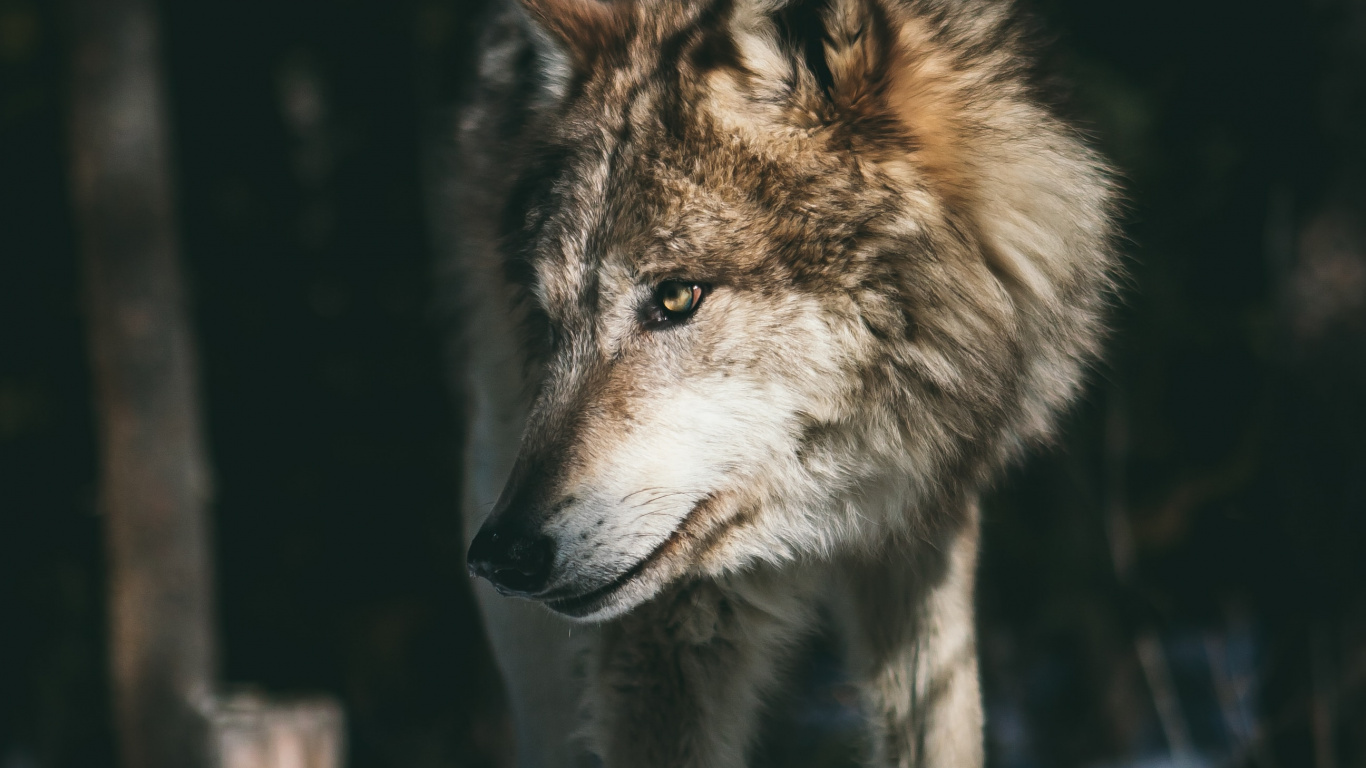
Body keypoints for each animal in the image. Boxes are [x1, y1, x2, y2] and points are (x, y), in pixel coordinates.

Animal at [441, 0, 1118, 763]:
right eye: (549, 320)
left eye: (676, 297)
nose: (501, 556)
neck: (822, 513)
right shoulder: (667, 624)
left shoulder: (925, 534)